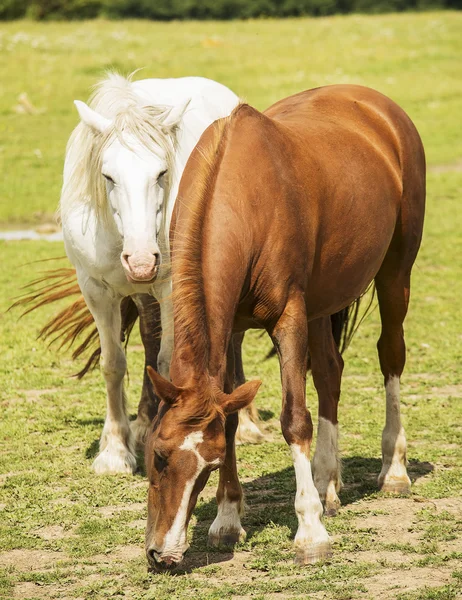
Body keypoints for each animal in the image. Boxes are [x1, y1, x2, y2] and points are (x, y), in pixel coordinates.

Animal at [61, 75, 256, 476]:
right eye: (108, 176)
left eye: (162, 173)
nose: (140, 261)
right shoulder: (96, 291)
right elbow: (114, 364)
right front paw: (116, 450)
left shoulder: (170, 287)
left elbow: (166, 363)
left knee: (229, 340)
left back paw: (244, 423)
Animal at [144, 84, 426, 568]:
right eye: (158, 454)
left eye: (207, 467)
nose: (161, 554)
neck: (242, 195)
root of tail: (381, 107)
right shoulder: (231, 328)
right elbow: (232, 418)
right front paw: (226, 520)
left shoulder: (289, 317)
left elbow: (295, 420)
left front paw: (310, 533)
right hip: (322, 301)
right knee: (330, 372)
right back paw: (327, 482)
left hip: (394, 275)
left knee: (391, 355)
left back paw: (393, 470)